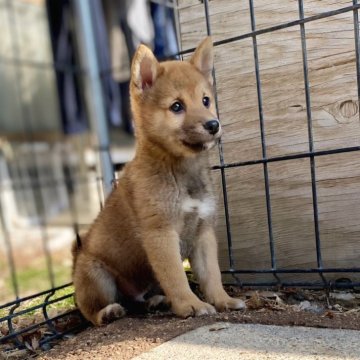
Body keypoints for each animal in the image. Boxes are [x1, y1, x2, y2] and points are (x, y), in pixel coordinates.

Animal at [73, 37, 245, 326]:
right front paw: (190, 304)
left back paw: (155, 301)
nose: (213, 124)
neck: (182, 172)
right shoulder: (161, 234)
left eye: (206, 100)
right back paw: (109, 312)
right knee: (93, 312)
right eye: (176, 106)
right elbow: (176, 277)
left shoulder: (203, 232)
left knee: (138, 300)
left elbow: (212, 275)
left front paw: (223, 300)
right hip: (96, 275)